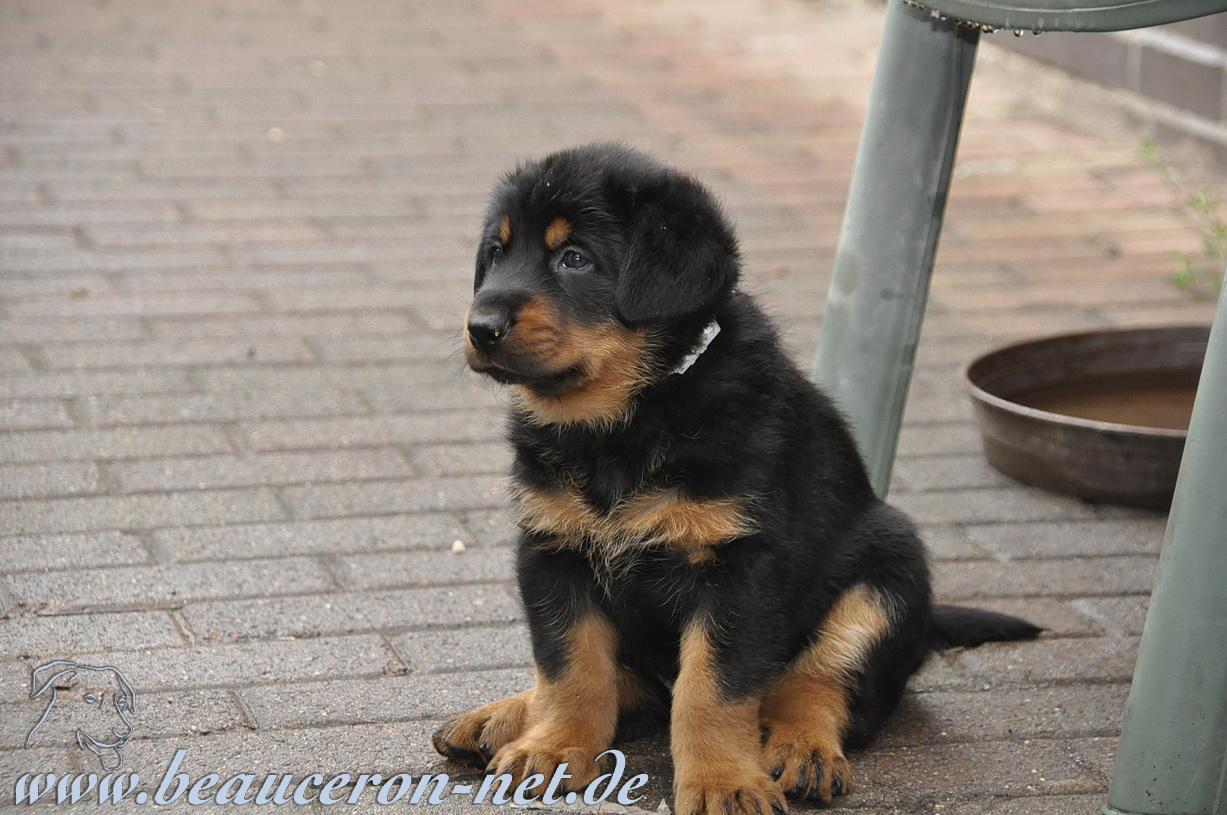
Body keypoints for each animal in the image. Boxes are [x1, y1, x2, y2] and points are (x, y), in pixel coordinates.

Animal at [433, 143, 1040, 814]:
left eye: (575, 258)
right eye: (496, 254)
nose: (481, 325)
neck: (625, 421)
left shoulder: (740, 566)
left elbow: (711, 690)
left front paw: (724, 782)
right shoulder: (552, 550)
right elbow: (571, 670)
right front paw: (553, 748)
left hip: (887, 569)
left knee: (819, 684)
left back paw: (802, 749)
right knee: (632, 688)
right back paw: (501, 717)